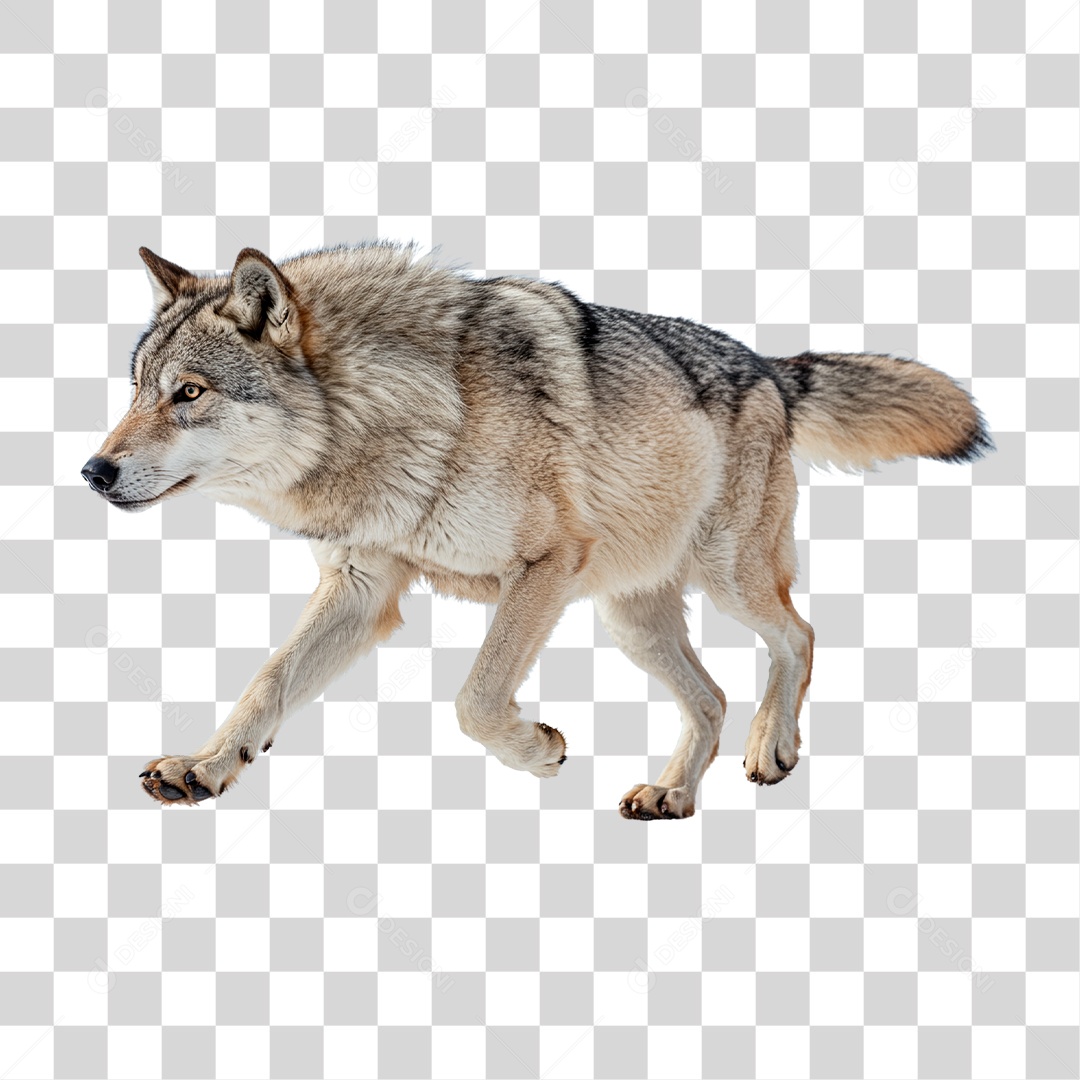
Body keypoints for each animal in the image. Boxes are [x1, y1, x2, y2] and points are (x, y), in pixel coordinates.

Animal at [82, 243, 991, 818]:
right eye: (136, 389)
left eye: (189, 393)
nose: (93, 472)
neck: (402, 419)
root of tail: (771, 367)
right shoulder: (363, 586)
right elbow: (267, 683)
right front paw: (204, 766)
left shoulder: (546, 567)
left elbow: (476, 699)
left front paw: (537, 748)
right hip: (632, 619)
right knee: (711, 695)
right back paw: (672, 795)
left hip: (727, 579)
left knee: (798, 636)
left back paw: (773, 748)